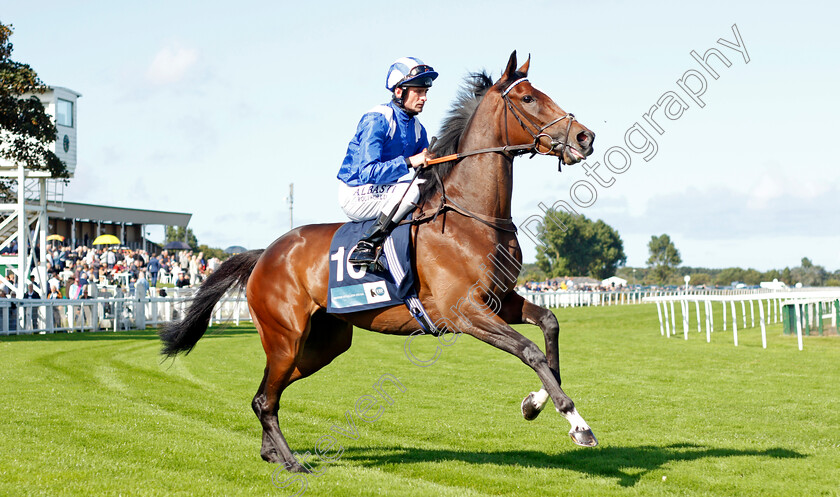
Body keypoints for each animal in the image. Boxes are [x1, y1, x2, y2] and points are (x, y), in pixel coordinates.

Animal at [159, 51, 596, 472]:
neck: (472, 217)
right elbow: (530, 351)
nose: (585, 136)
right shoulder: (464, 312)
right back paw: (291, 462)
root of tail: (264, 254)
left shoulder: (499, 300)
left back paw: (272, 453)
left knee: (265, 394)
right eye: (527, 98)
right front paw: (578, 424)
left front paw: (535, 403)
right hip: (285, 337)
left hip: (322, 344)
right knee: (267, 399)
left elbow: (549, 327)